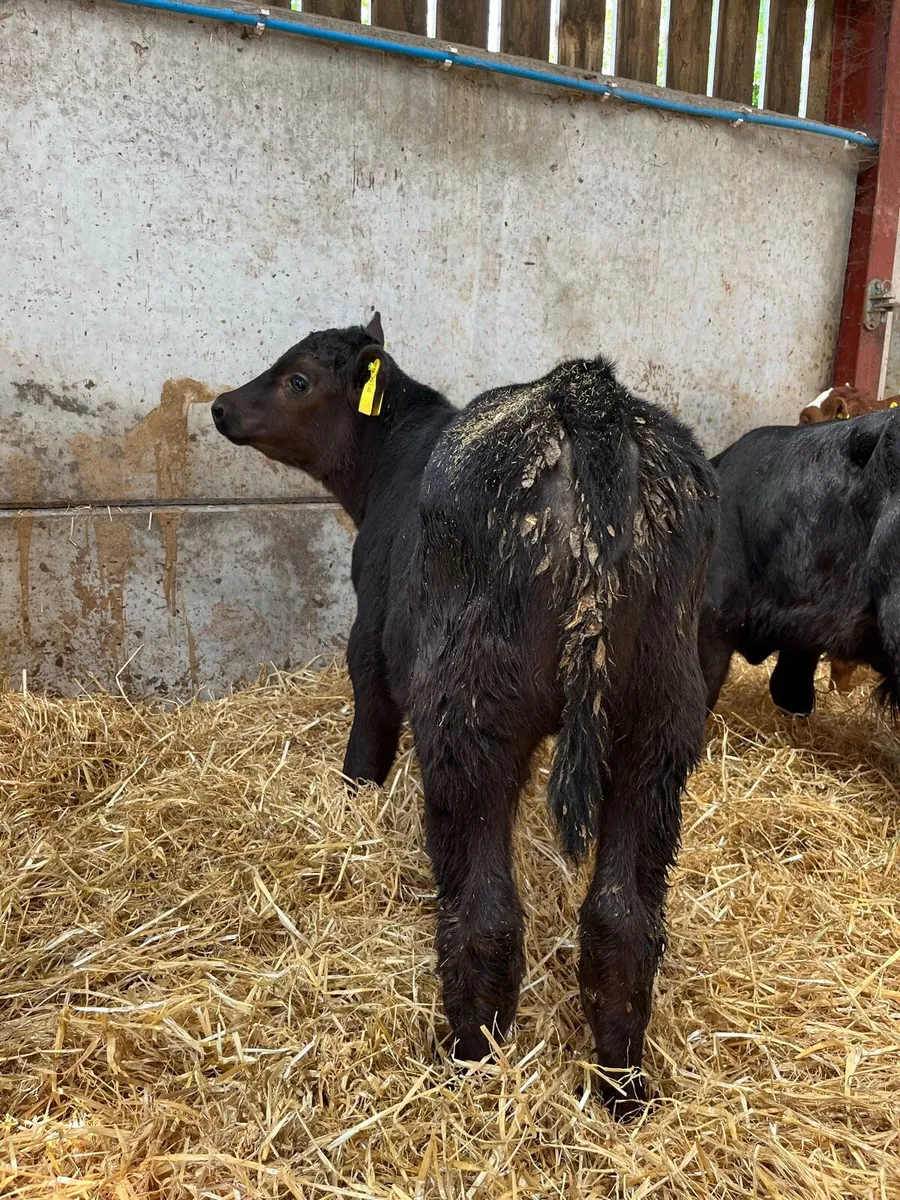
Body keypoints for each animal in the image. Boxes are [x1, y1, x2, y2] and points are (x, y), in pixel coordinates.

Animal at [212, 315, 719, 1117]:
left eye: (297, 379)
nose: (221, 407)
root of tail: (586, 400)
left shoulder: (370, 646)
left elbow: (366, 743)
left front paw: (352, 805)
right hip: (658, 722)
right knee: (623, 919)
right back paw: (622, 1090)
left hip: (466, 716)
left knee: (484, 913)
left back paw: (469, 1067)